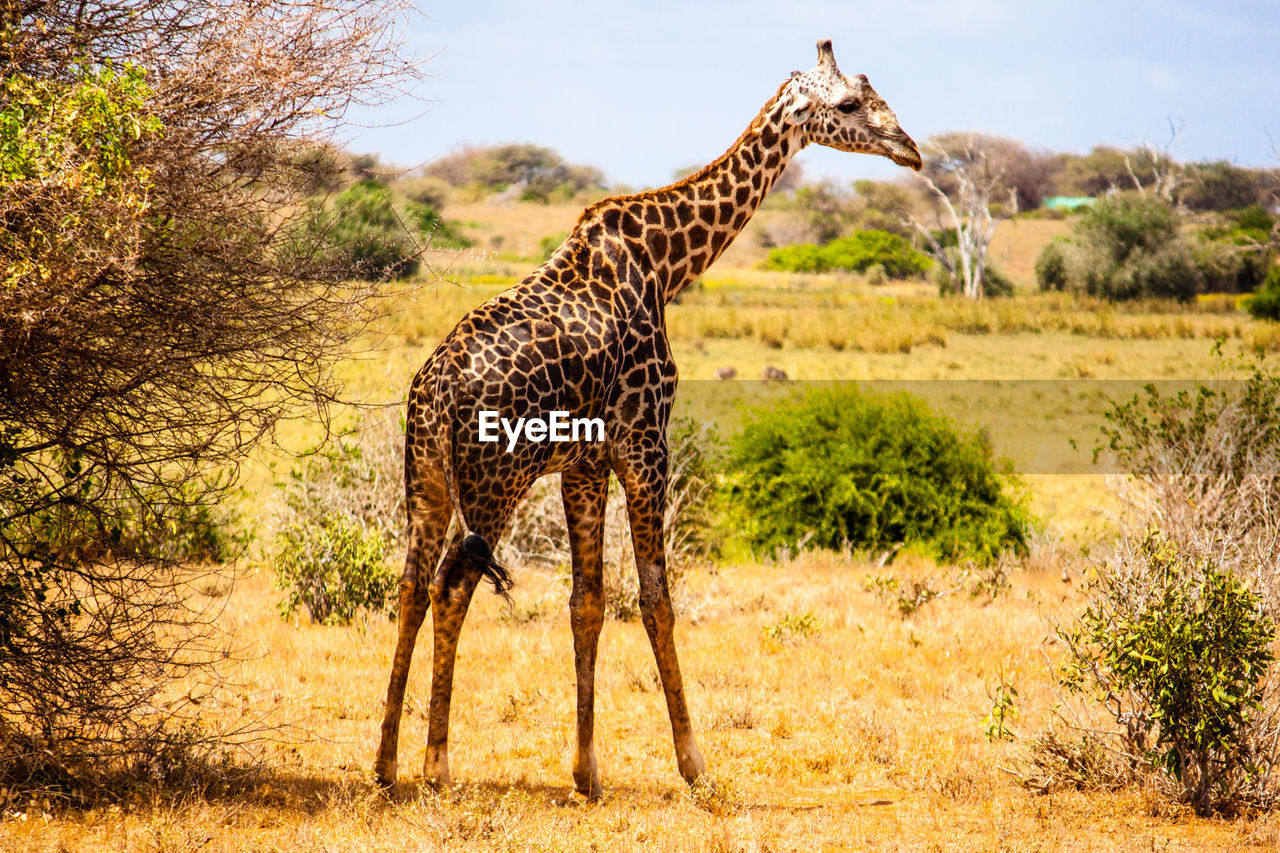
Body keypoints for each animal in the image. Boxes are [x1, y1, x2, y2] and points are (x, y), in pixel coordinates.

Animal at [371, 38, 921, 799]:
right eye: (847, 104)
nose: (910, 149)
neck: (668, 263)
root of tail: (438, 390)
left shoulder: (581, 461)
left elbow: (588, 602)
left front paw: (586, 771)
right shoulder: (643, 443)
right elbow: (656, 598)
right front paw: (694, 763)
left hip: (425, 478)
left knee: (411, 584)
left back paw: (386, 763)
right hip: (494, 481)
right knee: (453, 585)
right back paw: (436, 765)